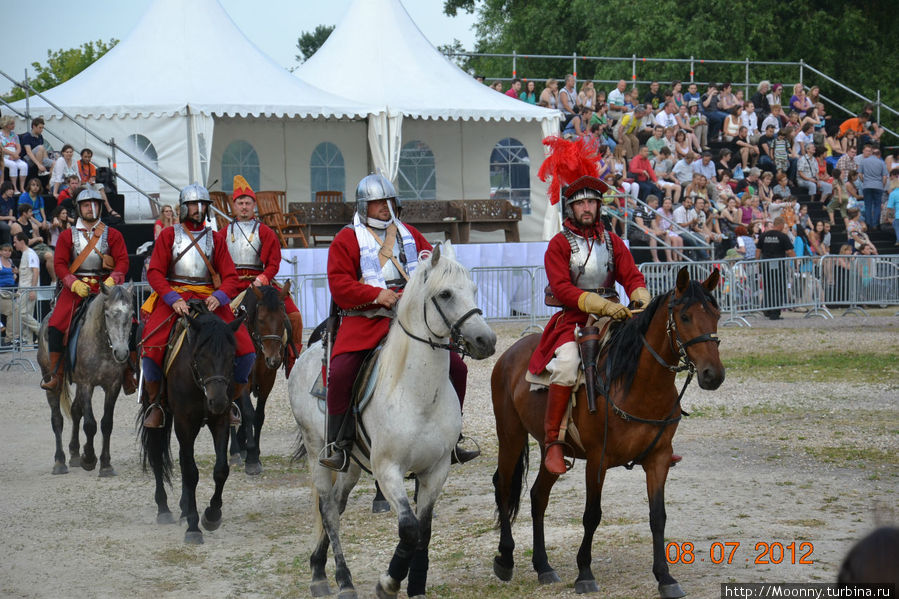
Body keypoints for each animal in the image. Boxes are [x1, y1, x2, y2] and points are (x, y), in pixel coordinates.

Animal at [37, 284, 134, 476]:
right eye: (107, 314)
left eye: (131, 314)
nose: (121, 353)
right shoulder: (86, 384)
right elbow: (90, 424)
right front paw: (89, 458)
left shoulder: (113, 386)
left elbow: (106, 423)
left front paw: (106, 465)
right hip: (51, 380)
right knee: (57, 419)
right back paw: (60, 462)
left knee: (75, 411)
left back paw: (74, 453)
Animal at [140, 302, 246, 548]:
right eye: (201, 355)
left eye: (232, 356)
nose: (218, 401)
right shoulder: (184, 422)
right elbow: (190, 472)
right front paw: (193, 527)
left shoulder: (220, 421)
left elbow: (221, 470)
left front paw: (211, 515)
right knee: (157, 455)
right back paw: (164, 509)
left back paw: (183, 509)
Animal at [230, 282, 294, 474]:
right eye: (261, 320)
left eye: (283, 319)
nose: (273, 359)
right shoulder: (242, 381)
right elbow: (248, 412)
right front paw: (251, 459)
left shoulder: (267, 380)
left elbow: (258, 415)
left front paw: (254, 453)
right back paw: (235, 452)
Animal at [290, 243, 496, 599]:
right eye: (445, 294)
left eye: (472, 289)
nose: (486, 340)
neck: (417, 394)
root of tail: (305, 355)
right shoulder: (388, 470)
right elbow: (409, 528)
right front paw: (388, 583)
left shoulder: (436, 469)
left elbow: (424, 530)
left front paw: (415, 585)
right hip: (318, 453)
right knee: (328, 511)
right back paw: (338, 579)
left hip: (353, 464)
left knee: (337, 505)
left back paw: (320, 567)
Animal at [488, 270, 728, 596]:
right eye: (686, 316)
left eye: (716, 315)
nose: (713, 375)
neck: (636, 384)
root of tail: (509, 355)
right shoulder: (597, 460)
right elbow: (592, 515)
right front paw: (585, 573)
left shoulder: (659, 459)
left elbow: (658, 517)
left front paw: (665, 577)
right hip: (510, 435)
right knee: (503, 486)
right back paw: (506, 558)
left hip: (551, 447)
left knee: (538, 495)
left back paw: (543, 566)